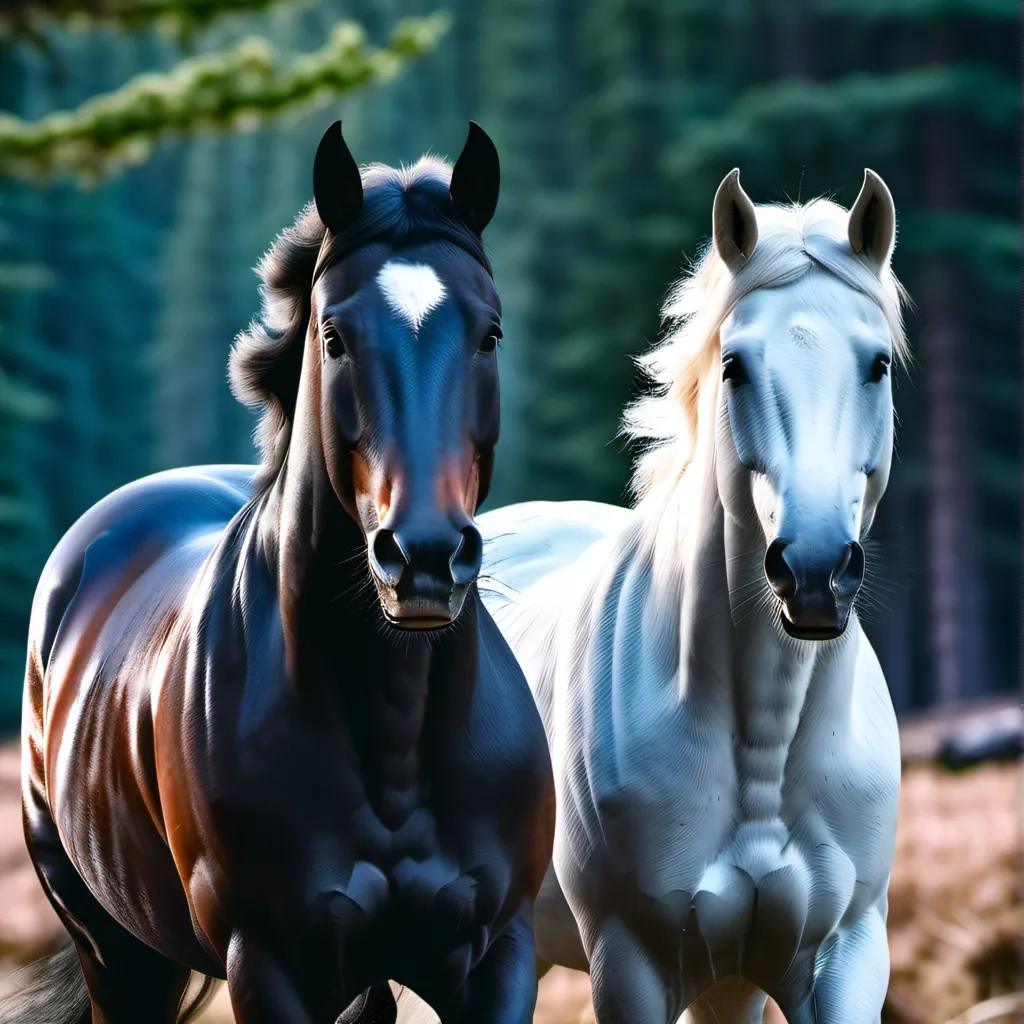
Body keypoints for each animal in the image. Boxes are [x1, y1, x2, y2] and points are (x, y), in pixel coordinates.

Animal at [7, 120, 555, 1024]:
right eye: (334, 336)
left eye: (491, 333)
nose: (425, 559)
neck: (392, 734)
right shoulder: (267, 964)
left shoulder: (497, 957)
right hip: (116, 951)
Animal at [477, 168, 909, 1022]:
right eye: (734, 365)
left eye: (876, 364)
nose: (814, 572)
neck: (764, 740)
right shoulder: (632, 960)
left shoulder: (842, 954)